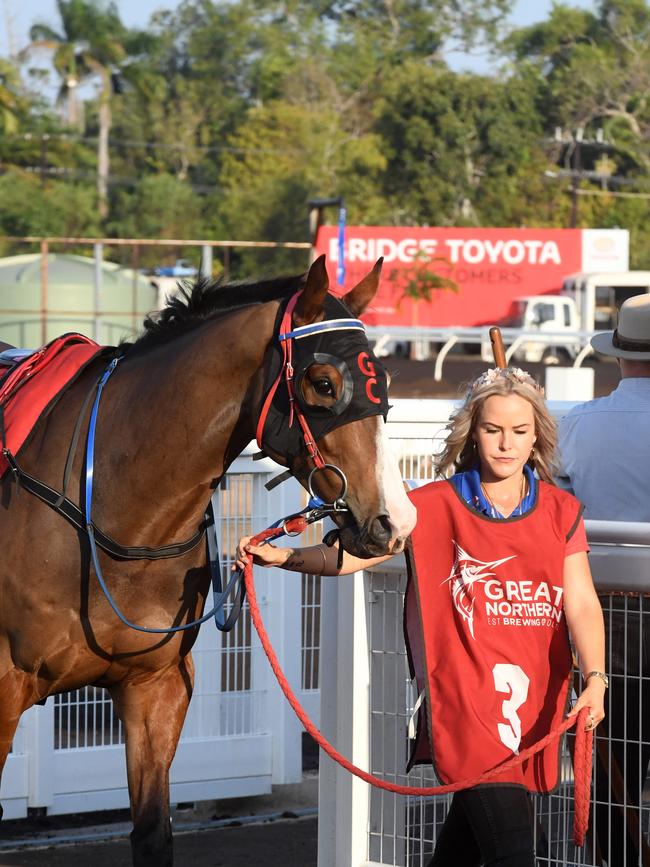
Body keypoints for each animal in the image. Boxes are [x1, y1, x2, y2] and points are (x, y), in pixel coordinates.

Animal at [0, 256, 416, 867]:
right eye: (323, 383)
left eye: (380, 383)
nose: (394, 521)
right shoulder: (5, 687)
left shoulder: (156, 686)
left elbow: (153, 831)